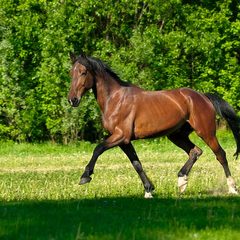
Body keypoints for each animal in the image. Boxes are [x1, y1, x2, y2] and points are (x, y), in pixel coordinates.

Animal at [67, 54, 240, 199]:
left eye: (83, 72)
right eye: (71, 73)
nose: (72, 100)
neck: (115, 99)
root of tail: (203, 96)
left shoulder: (120, 136)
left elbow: (98, 148)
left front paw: (85, 176)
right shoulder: (124, 141)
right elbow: (136, 164)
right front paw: (149, 190)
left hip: (206, 132)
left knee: (220, 154)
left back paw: (232, 188)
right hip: (176, 135)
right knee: (195, 151)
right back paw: (182, 182)